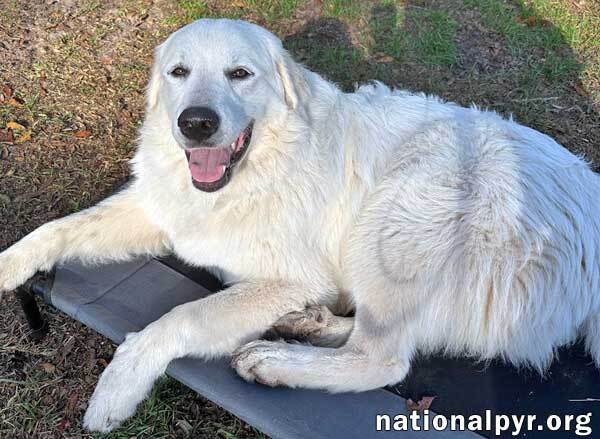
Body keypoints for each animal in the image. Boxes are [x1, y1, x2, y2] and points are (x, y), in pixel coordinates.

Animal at [1, 18, 600, 432]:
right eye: (179, 73)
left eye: (240, 74)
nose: (196, 123)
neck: (256, 171)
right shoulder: (156, 211)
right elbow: (55, 230)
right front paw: (8, 265)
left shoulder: (291, 276)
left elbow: (180, 317)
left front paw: (118, 387)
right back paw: (306, 325)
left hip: (398, 213)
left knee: (383, 361)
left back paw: (277, 360)